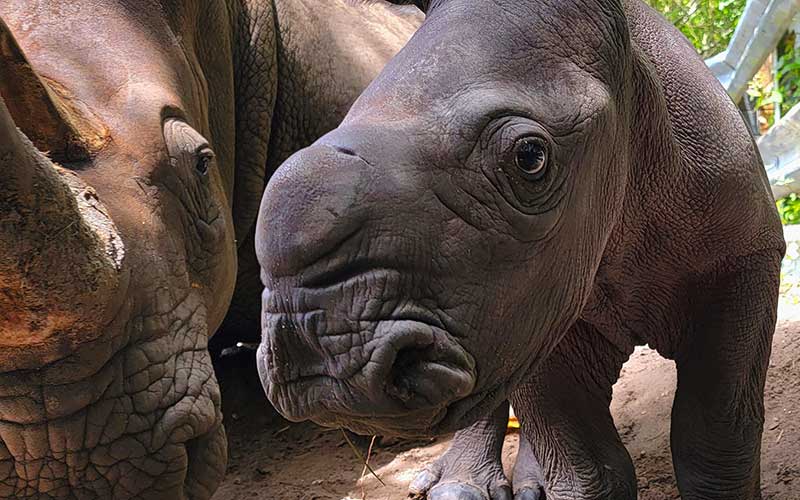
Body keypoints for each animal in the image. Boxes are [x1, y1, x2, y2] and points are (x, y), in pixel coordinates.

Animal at [258, 0, 788, 500]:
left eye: (530, 158)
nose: (317, 342)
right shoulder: (534, 303)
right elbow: (589, 465)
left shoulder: (746, 257)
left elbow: (717, 433)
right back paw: (458, 489)